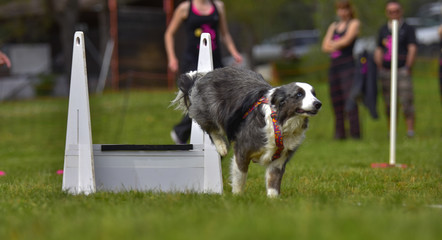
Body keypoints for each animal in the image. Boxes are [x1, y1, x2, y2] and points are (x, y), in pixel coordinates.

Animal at [173, 66, 322, 197]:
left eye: (314, 94)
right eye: (299, 94)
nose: (318, 104)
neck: (280, 123)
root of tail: (203, 77)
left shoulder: (279, 159)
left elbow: (273, 182)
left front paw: (273, 201)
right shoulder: (242, 150)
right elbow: (240, 175)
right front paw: (237, 197)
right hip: (212, 110)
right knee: (210, 128)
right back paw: (221, 147)